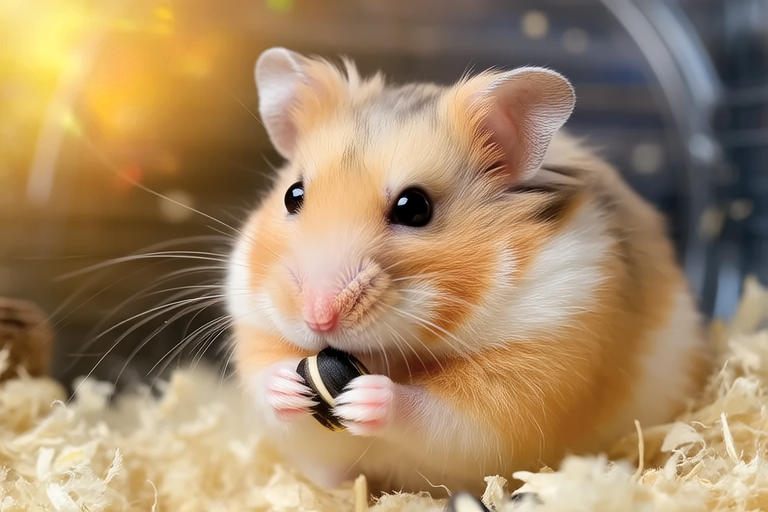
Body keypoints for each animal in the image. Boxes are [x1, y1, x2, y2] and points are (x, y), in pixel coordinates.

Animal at [225, 47, 711, 496]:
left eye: (414, 207)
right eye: (293, 195)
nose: (318, 317)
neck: (392, 351)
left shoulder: (530, 374)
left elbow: (445, 417)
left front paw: (367, 396)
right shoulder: (258, 333)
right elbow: (271, 390)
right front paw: (286, 385)